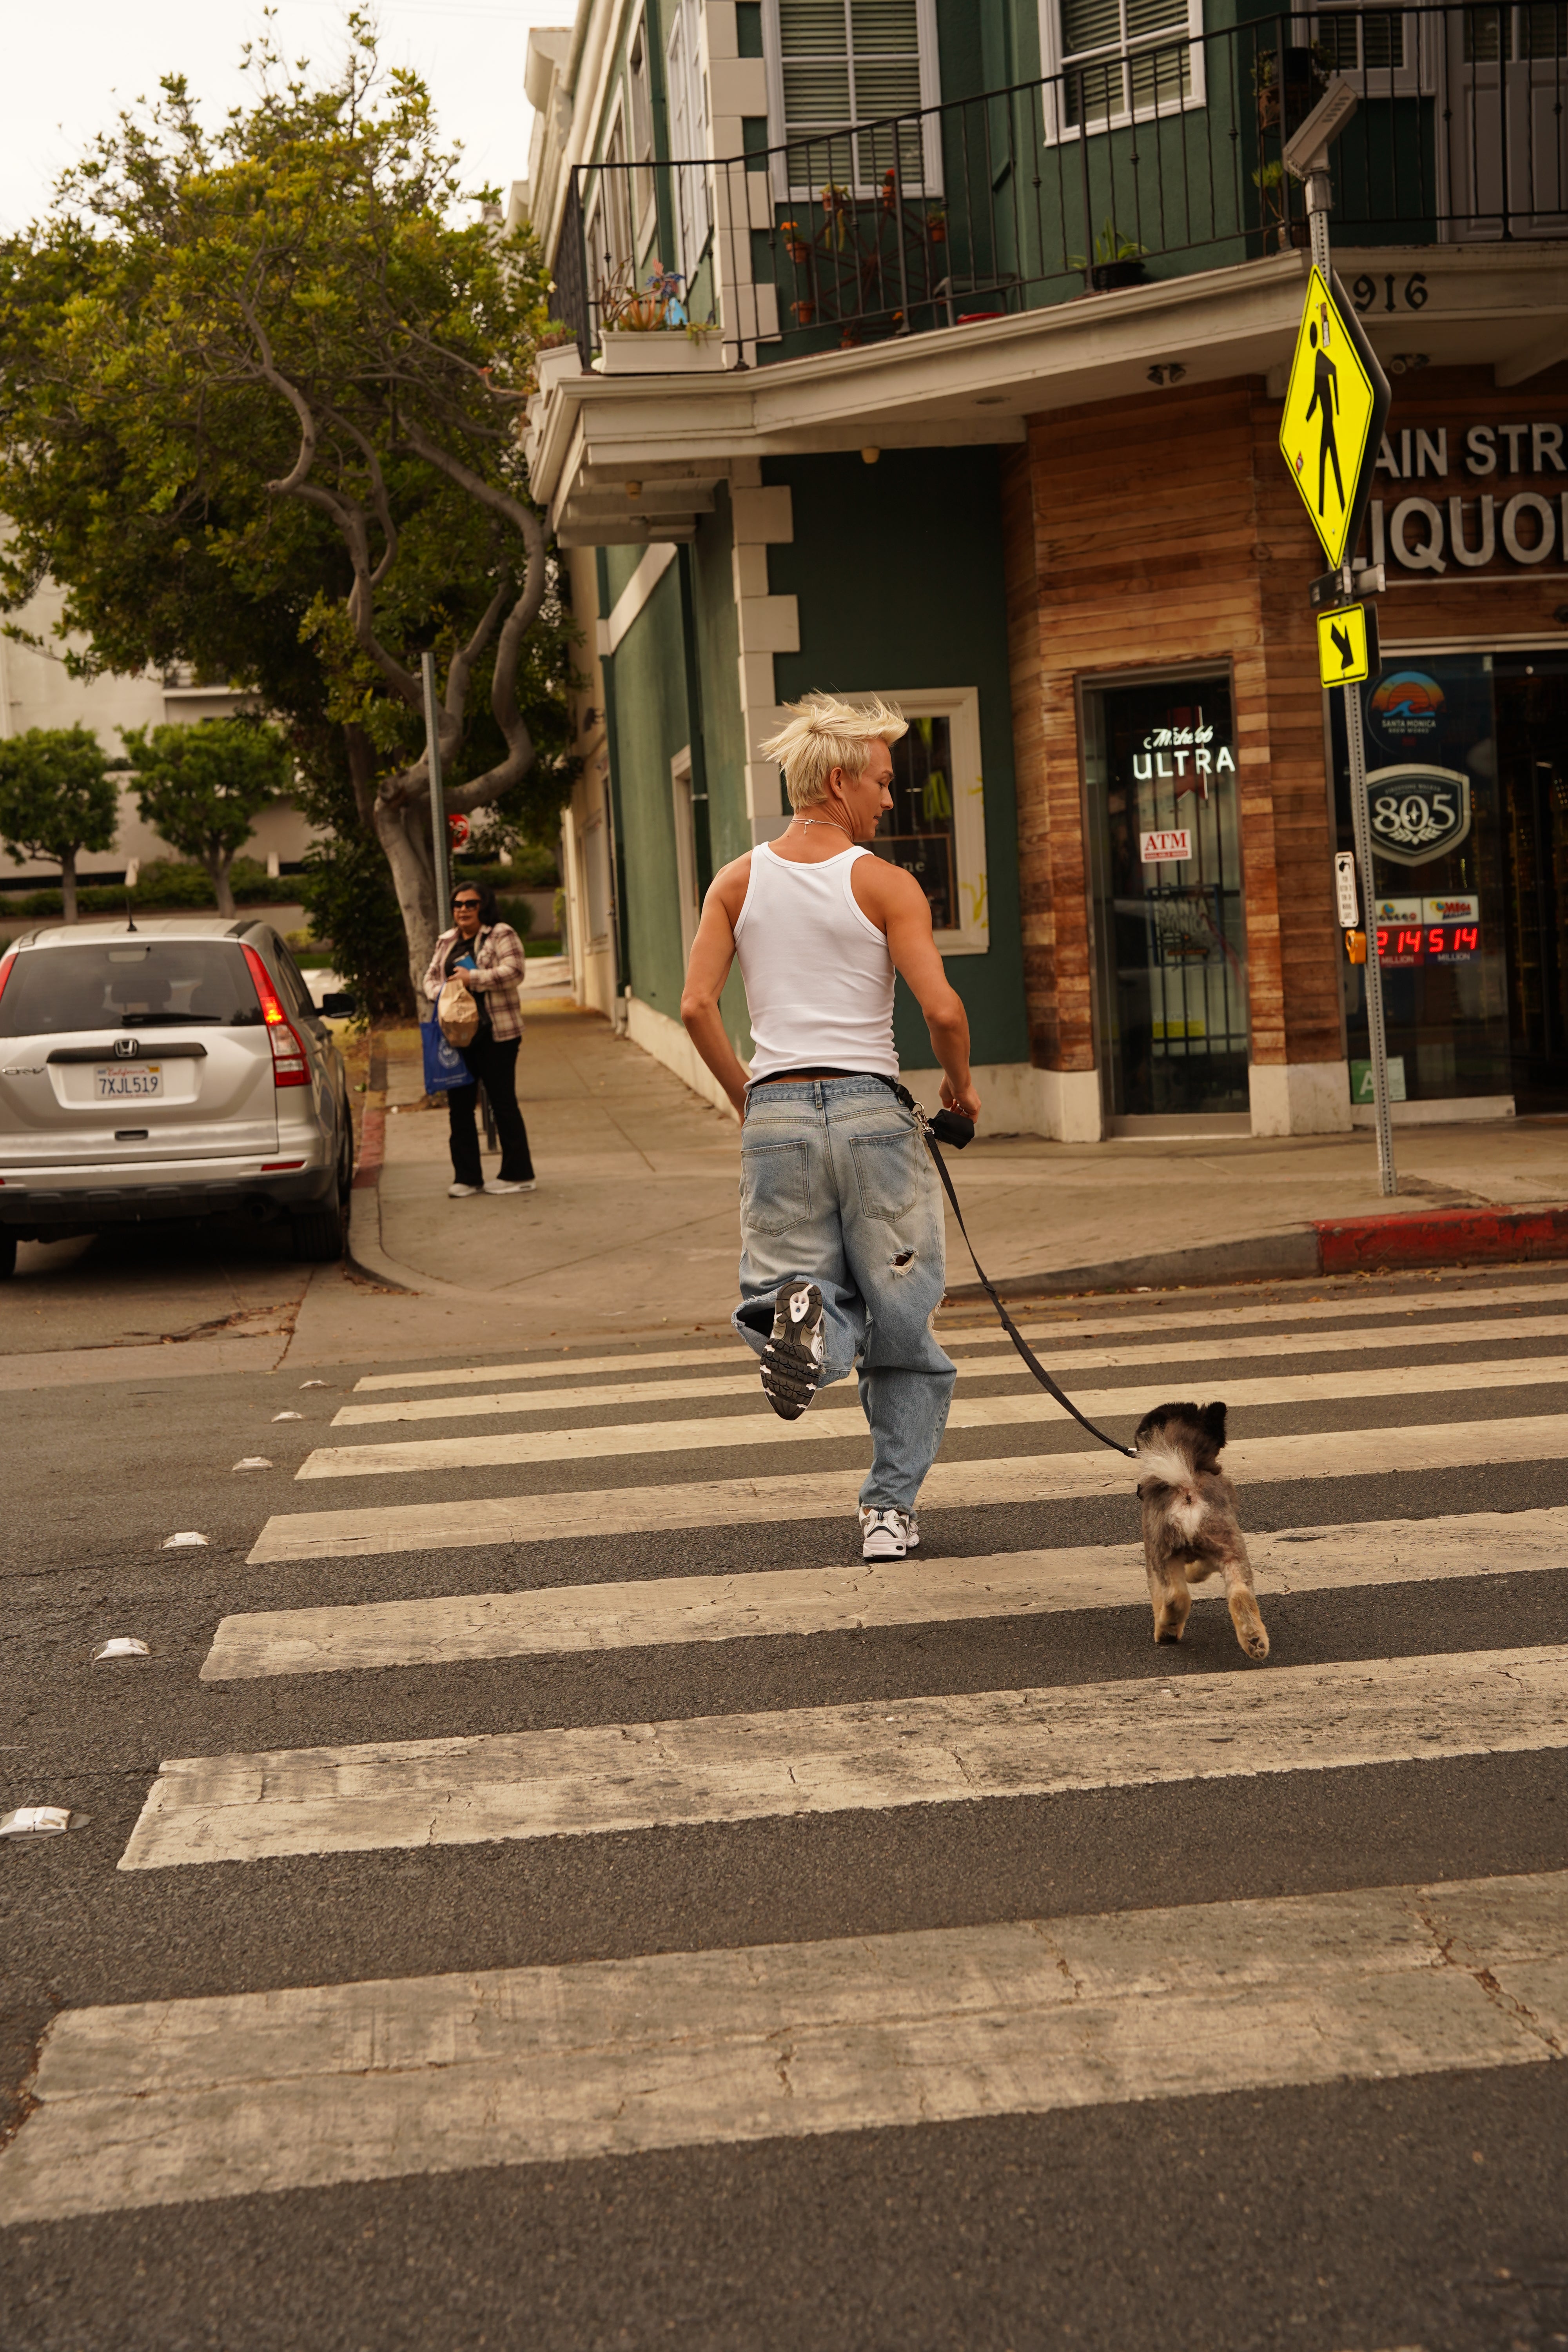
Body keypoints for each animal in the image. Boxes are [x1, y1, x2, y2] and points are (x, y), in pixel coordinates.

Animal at [1133, 1402, 1269, 1665]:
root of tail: (1187, 1489)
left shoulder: (1151, 1557)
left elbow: (1158, 1593)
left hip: (1165, 1554)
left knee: (1175, 1596)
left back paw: (1166, 1630)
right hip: (1228, 1547)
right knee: (1239, 1594)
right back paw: (1255, 1641)